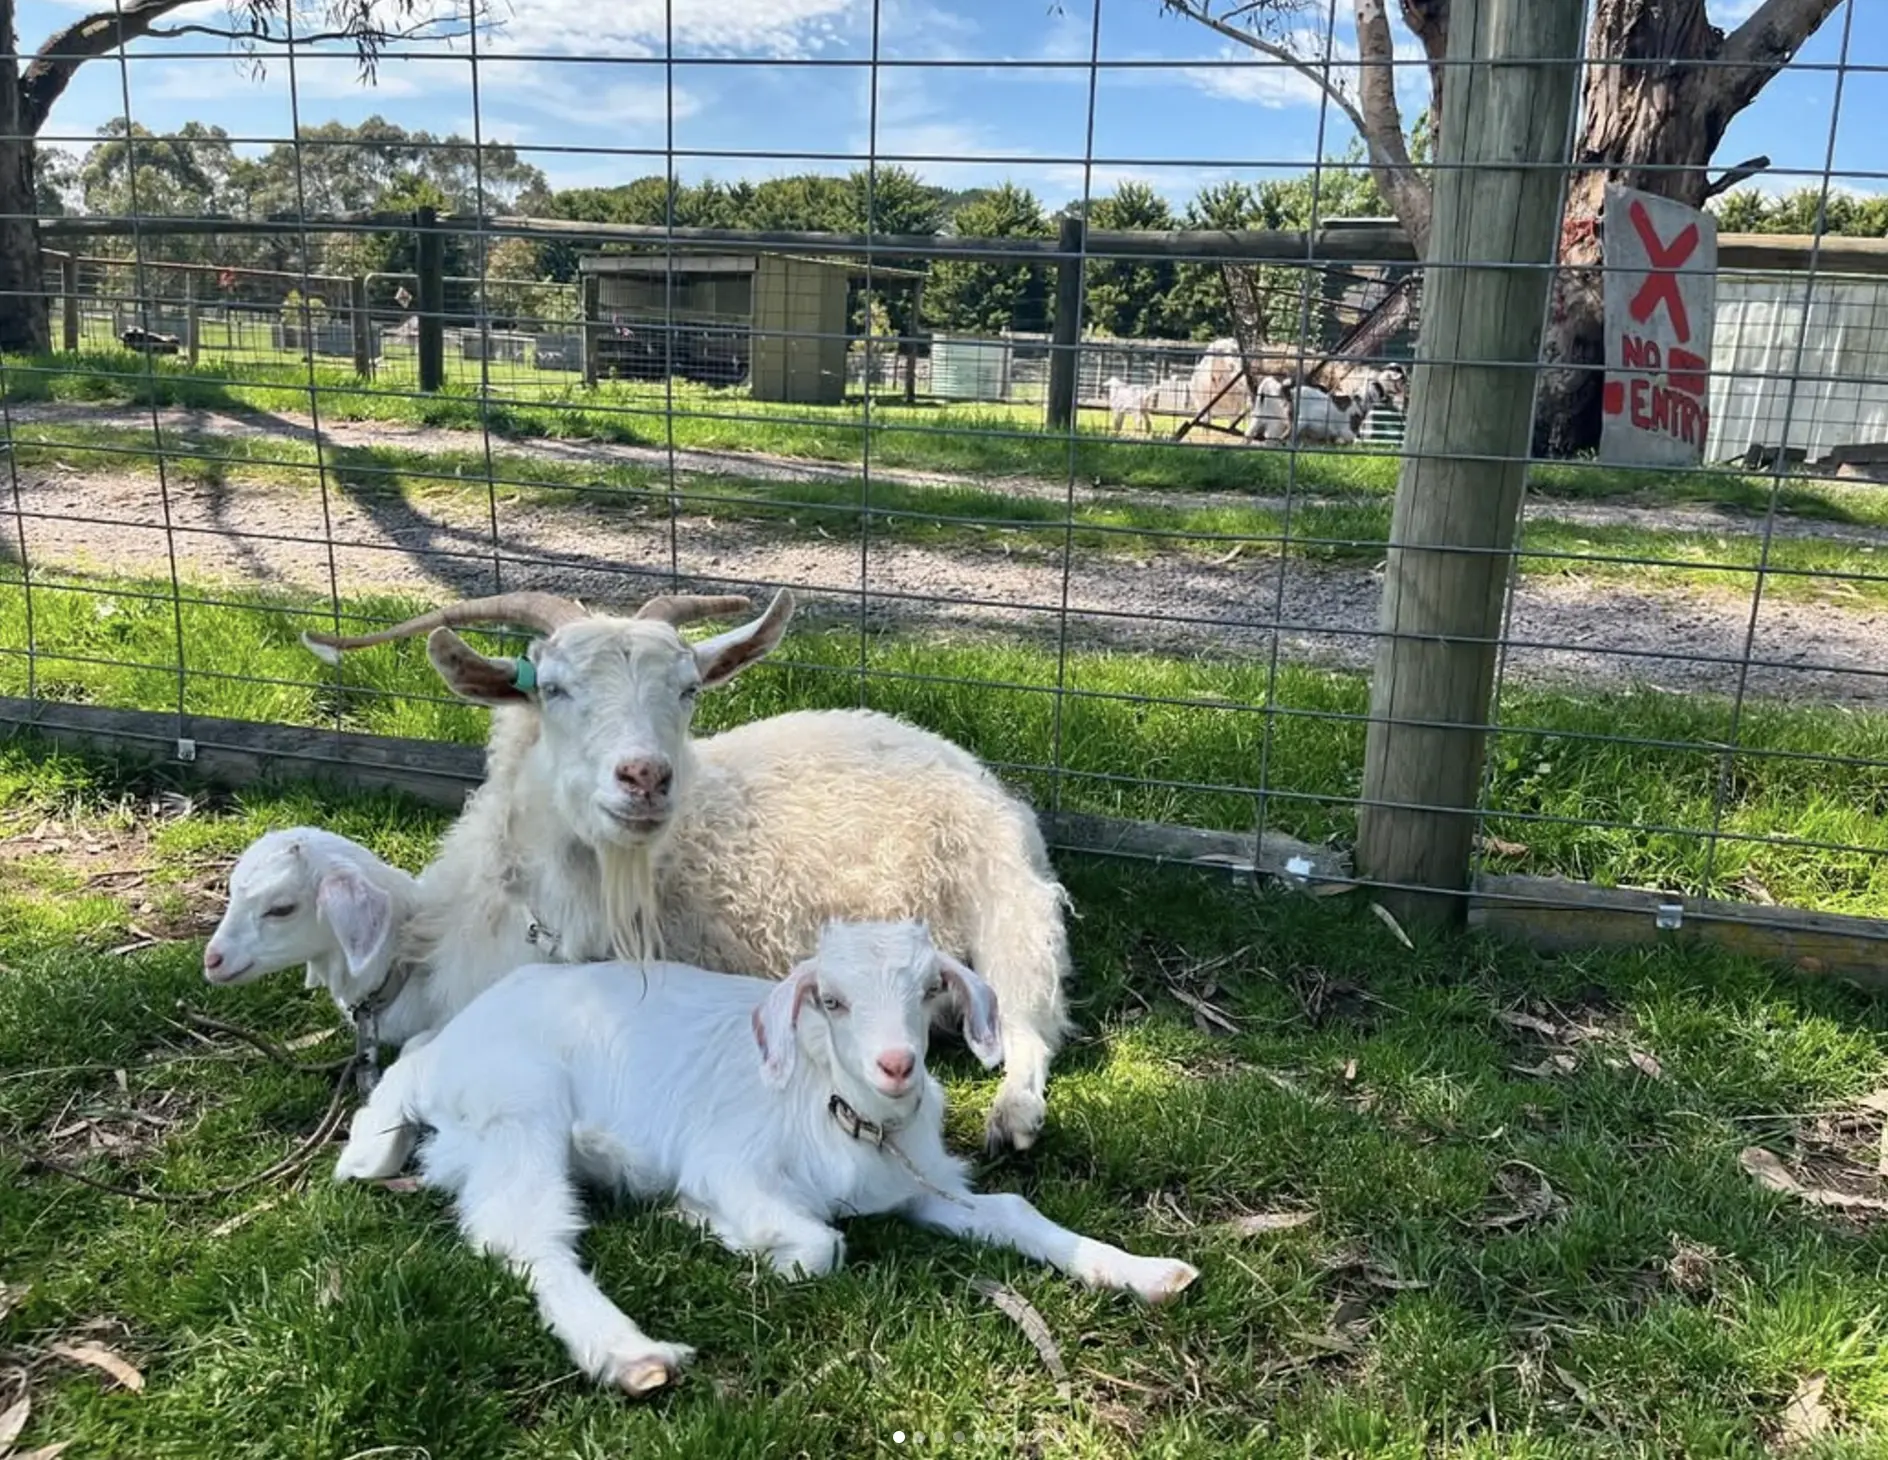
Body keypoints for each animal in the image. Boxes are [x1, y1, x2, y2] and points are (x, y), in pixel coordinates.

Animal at [309, 585, 1079, 1148]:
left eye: (687, 690)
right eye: (551, 688)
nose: (645, 776)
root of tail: (958, 759)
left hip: (1012, 906)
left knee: (1029, 1023)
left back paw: (1013, 1117)